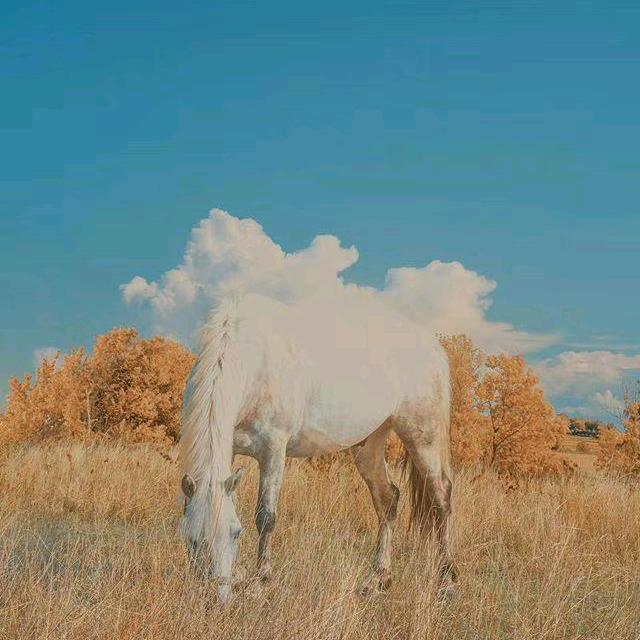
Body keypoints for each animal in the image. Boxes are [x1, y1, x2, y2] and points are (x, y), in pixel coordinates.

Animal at [179, 291, 456, 603]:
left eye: (236, 533)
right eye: (193, 540)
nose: (219, 597)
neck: (254, 363)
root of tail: (433, 347)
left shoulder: (273, 449)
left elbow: (266, 516)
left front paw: (260, 583)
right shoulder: (231, 448)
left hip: (423, 436)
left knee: (441, 496)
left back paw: (446, 582)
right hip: (369, 445)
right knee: (388, 500)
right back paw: (376, 580)